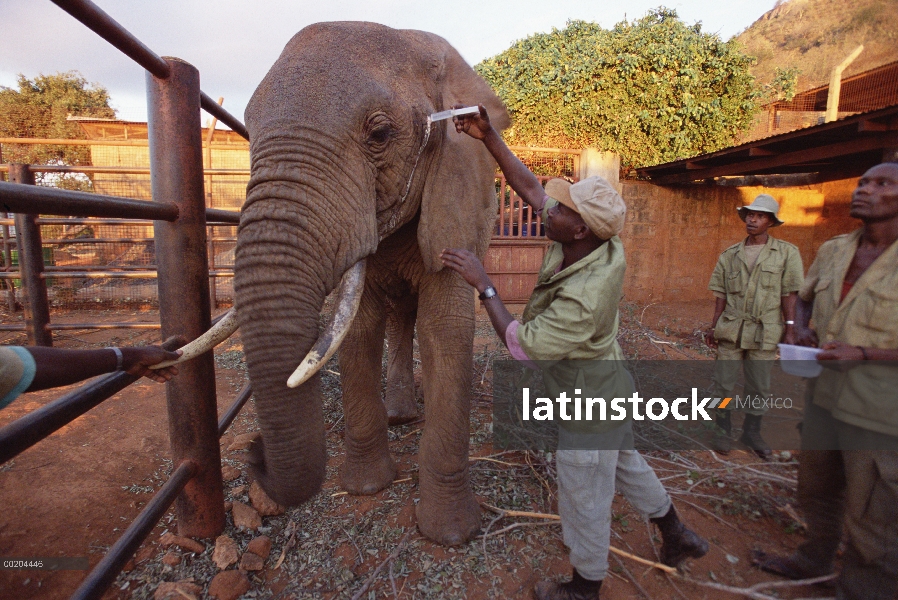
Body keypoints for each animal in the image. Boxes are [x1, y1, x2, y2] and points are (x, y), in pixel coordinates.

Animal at [234, 21, 508, 548]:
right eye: (248, 131)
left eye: (379, 134)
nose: (255, 453)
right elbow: (359, 328)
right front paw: (365, 488)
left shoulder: (459, 194)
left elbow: (445, 329)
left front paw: (450, 534)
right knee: (397, 318)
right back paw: (400, 416)